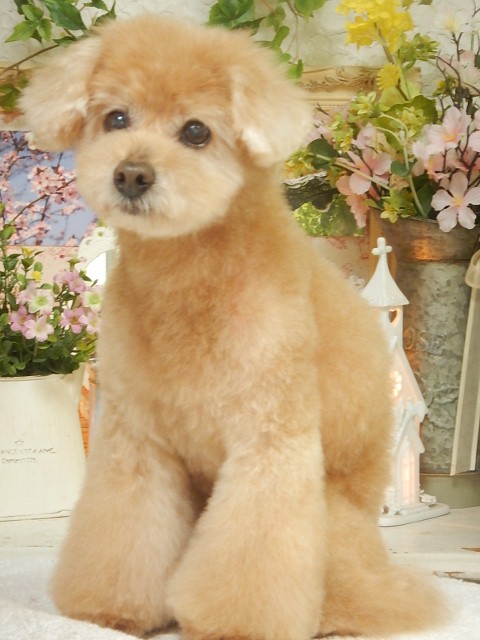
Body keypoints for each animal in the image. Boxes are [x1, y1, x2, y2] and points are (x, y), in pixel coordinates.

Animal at [20, 15, 445, 639]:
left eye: (197, 132)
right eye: (116, 119)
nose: (131, 174)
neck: (189, 276)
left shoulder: (268, 436)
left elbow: (252, 544)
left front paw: (234, 620)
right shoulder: (138, 438)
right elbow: (127, 525)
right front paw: (111, 607)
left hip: (338, 527)